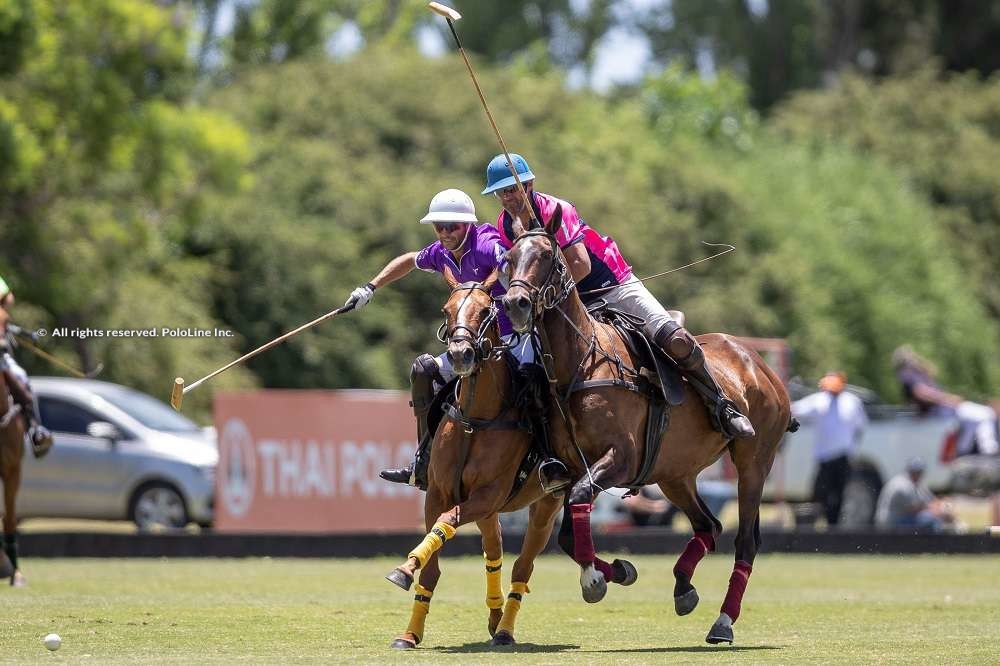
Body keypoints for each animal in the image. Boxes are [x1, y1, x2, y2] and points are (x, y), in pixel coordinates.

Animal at [386, 268, 636, 644]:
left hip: (543, 503)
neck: (476, 418)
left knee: (523, 565)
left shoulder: (488, 494)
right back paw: (495, 616)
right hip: (488, 508)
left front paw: (403, 570)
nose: (460, 355)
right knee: (495, 552)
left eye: (485, 310)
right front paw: (409, 631)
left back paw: (504, 628)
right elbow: (433, 564)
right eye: (447, 310)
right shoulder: (439, 493)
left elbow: (447, 522)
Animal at [504, 209, 792, 644]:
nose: (515, 304)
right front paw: (619, 571)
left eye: (546, 256)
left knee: (745, 540)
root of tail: (761, 365)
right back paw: (683, 587)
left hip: (754, 461)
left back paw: (723, 623)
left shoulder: (621, 457)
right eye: (509, 259)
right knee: (709, 524)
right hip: (674, 473)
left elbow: (581, 500)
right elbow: (567, 532)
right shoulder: (570, 466)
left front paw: (594, 580)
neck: (582, 363)